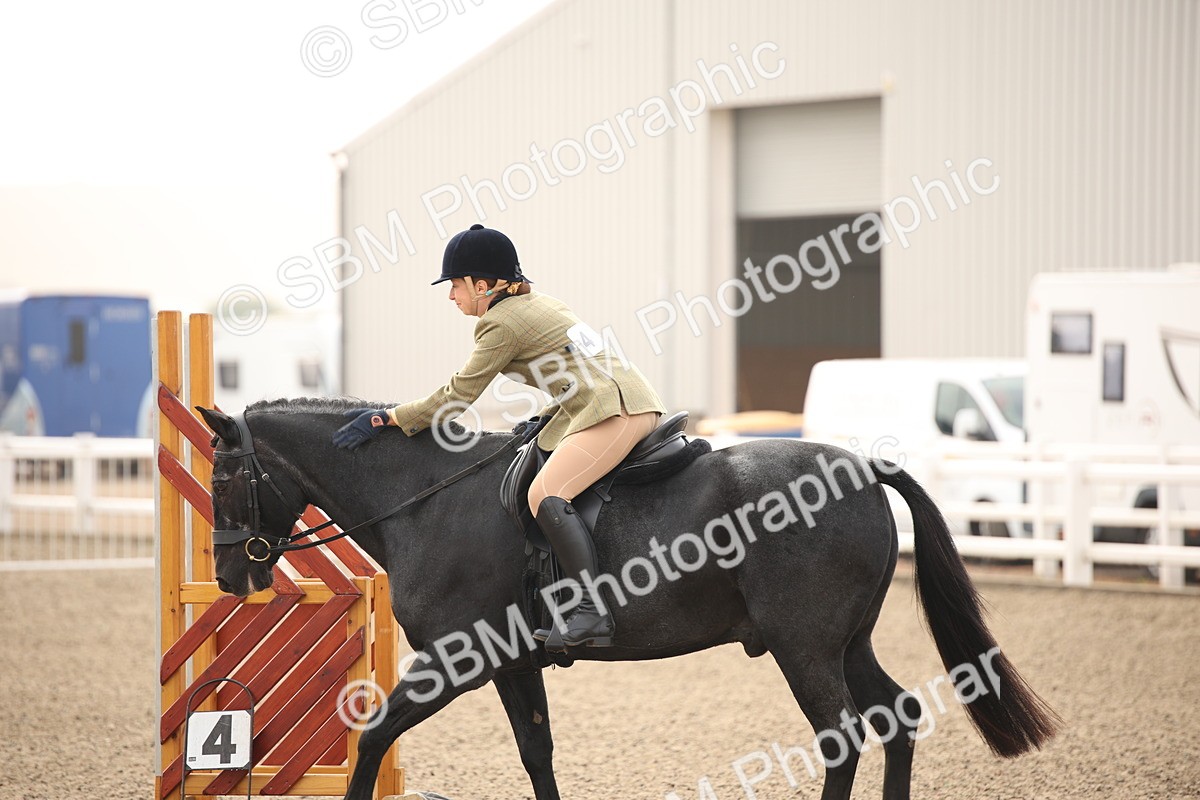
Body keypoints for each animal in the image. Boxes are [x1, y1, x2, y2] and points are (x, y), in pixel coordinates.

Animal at [196, 399, 1059, 800]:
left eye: (226, 478)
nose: (233, 576)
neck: (426, 498)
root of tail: (862, 467)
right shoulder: (513, 664)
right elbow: (536, 752)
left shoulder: (453, 662)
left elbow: (373, 736)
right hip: (846, 644)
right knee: (896, 720)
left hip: (805, 648)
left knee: (844, 737)